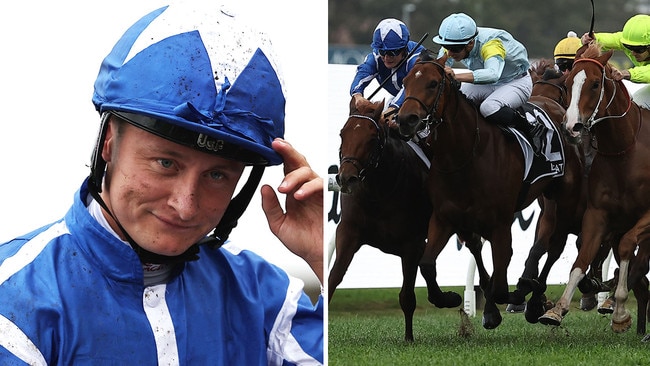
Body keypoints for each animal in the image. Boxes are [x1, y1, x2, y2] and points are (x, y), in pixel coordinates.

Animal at [330, 96, 486, 340]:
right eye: (342, 134)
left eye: (372, 138)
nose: (346, 178)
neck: (380, 190)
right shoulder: (348, 232)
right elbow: (333, 279)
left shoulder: (411, 244)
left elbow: (407, 295)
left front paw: (409, 338)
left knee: (475, 247)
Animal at [394, 50, 584, 328]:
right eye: (406, 82)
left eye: (433, 83)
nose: (405, 120)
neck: (465, 156)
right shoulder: (444, 218)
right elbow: (427, 264)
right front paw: (449, 298)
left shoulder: (500, 224)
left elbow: (501, 282)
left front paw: (513, 296)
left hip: (564, 199)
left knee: (555, 245)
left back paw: (535, 300)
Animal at [536, 43, 648, 334]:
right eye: (568, 84)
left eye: (596, 84)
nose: (572, 126)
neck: (624, 151)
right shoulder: (597, 214)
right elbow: (580, 259)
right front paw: (557, 309)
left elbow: (627, 250)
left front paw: (618, 309)